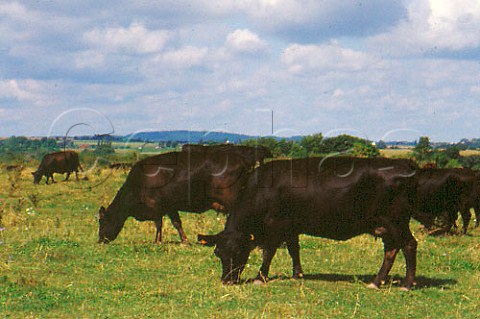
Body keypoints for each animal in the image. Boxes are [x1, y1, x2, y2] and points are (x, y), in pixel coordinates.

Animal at [97, 144, 272, 244]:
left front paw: (157, 241)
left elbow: (158, 224)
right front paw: (184, 240)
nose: (100, 240)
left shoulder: (156, 206)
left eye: (102, 221)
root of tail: (242, 159)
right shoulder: (170, 206)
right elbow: (176, 223)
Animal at [197, 158, 418, 292]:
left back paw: (407, 284)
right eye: (218, 253)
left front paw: (261, 277)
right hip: (386, 226)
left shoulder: (276, 225)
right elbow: (294, 249)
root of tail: (405, 165)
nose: (226, 280)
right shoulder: (291, 226)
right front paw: (297, 274)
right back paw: (375, 282)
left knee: (409, 246)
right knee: (391, 251)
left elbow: (269, 252)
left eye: (238, 252)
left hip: (396, 221)